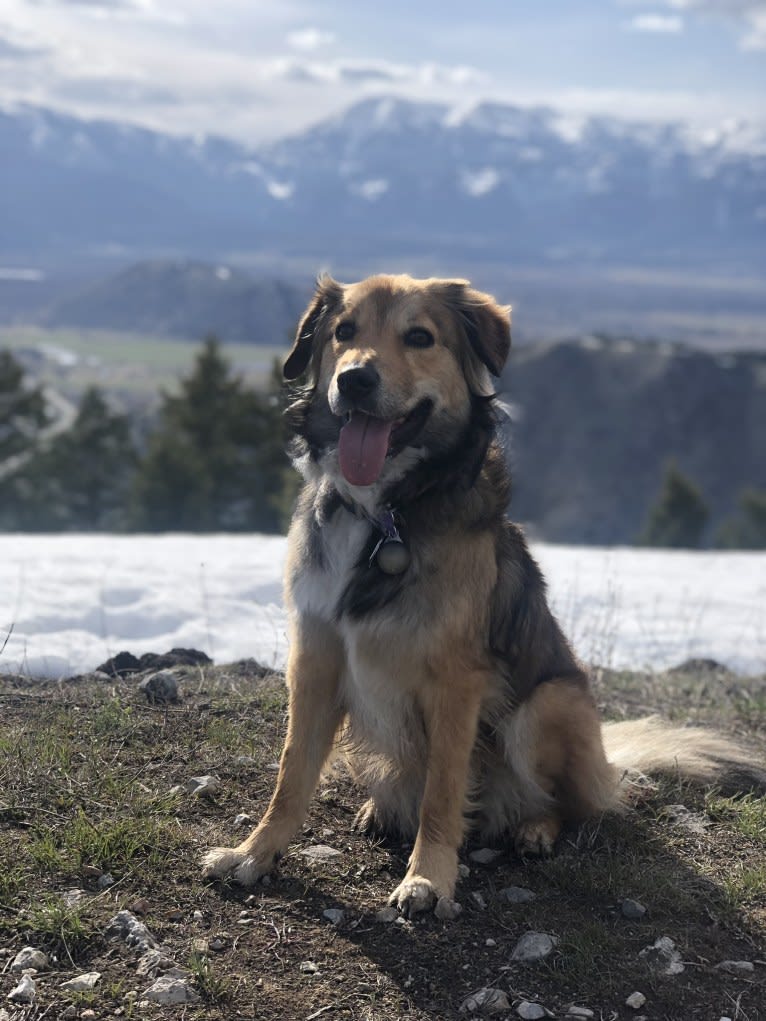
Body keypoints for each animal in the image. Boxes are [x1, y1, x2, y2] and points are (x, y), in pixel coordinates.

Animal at [205, 271, 766, 918]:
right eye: (342, 332)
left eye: (420, 337)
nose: (355, 380)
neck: (387, 512)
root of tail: (607, 763)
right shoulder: (315, 657)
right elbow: (291, 773)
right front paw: (254, 852)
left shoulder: (457, 683)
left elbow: (443, 792)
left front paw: (429, 878)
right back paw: (382, 809)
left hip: (548, 704)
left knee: (567, 805)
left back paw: (535, 829)